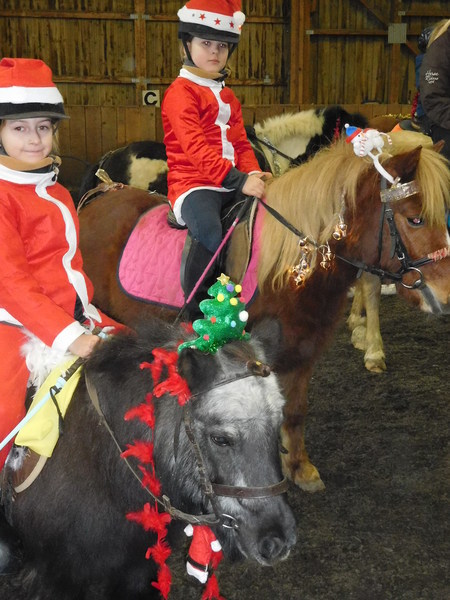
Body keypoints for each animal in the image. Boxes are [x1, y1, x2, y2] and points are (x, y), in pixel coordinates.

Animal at [79, 132, 450, 492]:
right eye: (415, 219)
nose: (445, 297)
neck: (290, 267)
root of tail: (95, 203)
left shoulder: (304, 351)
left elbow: (295, 411)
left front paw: (299, 467)